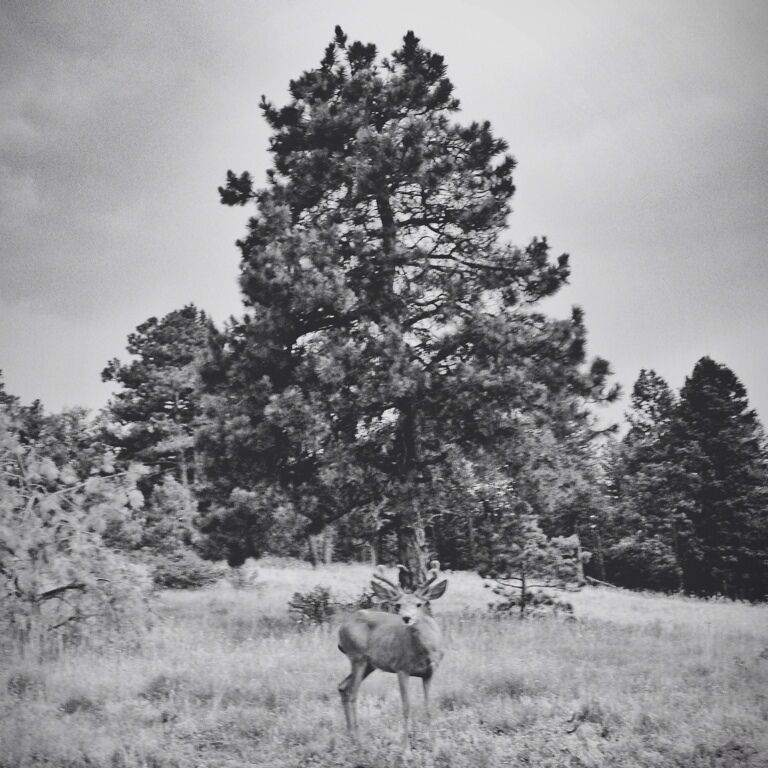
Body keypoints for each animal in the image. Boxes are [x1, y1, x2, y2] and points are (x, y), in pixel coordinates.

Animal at [337, 561, 448, 750]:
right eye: (397, 605)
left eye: (419, 604)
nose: (406, 618)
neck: (425, 651)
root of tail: (341, 628)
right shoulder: (402, 668)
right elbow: (406, 707)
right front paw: (405, 749)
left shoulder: (429, 673)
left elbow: (428, 708)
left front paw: (434, 747)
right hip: (357, 657)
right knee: (352, 693)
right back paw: (359, 741)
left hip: (369, 664)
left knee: (342, 687)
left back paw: (350, 735)